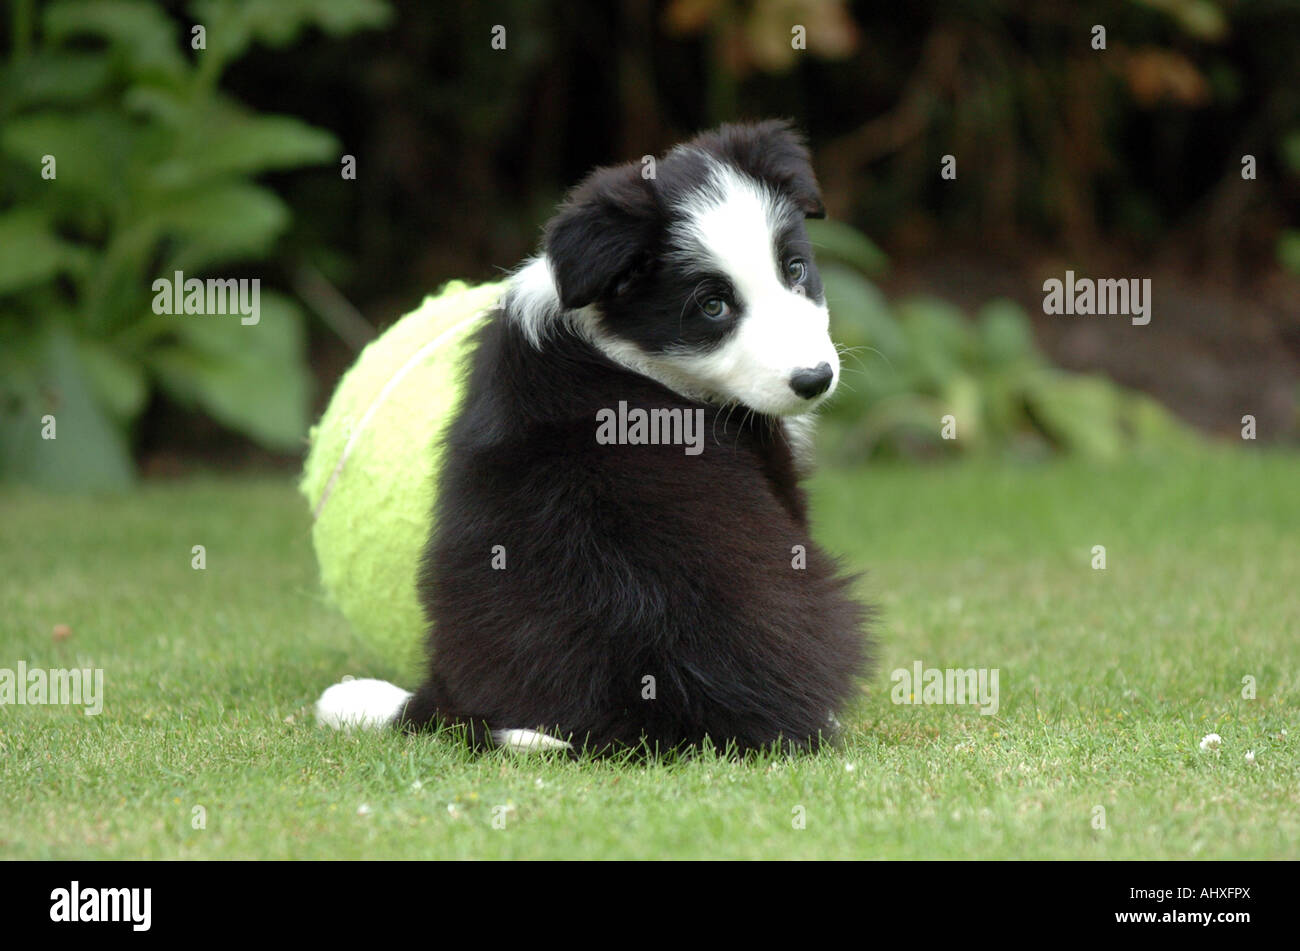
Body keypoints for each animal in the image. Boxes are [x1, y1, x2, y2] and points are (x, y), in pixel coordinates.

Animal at [317, 120, 873, 758]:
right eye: (712, 306)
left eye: (795, 270)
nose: (815, 380)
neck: (619, 340)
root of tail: (647, 713)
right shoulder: (777, 477)